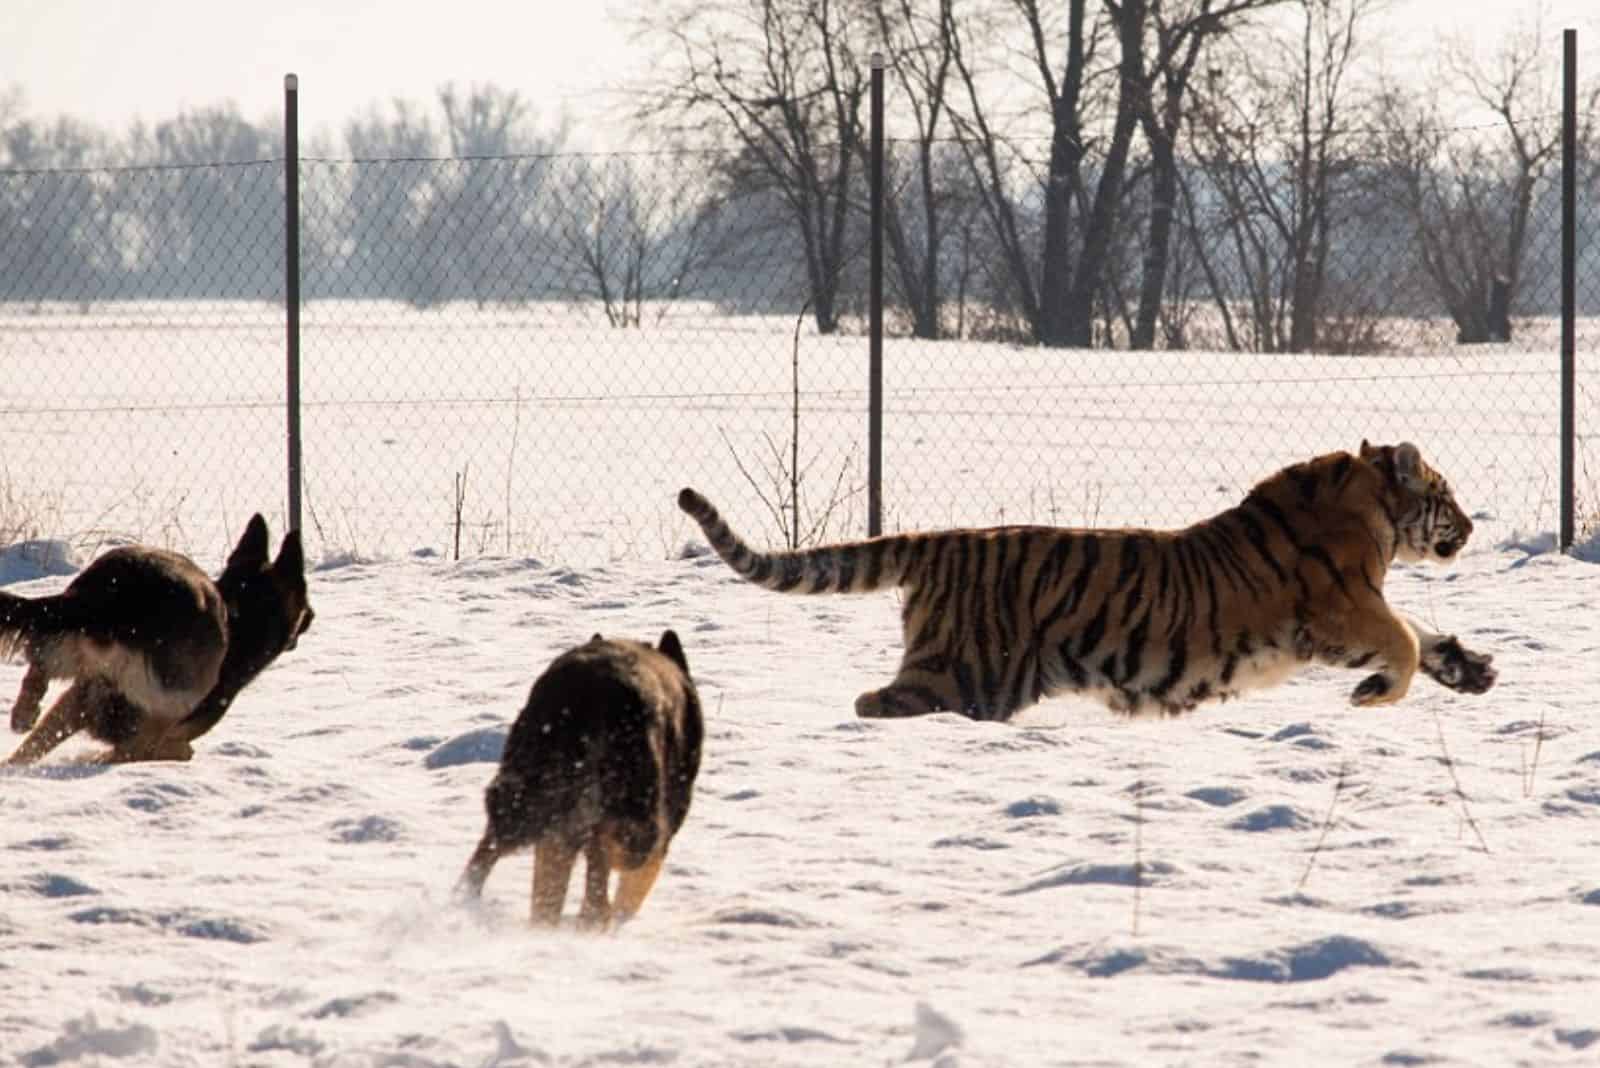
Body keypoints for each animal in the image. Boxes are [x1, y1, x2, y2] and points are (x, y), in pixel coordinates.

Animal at [3, 511, 315, 764]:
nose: (312, 616)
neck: (242, 615)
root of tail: (112, 592)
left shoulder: (82, 699)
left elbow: (35, 745)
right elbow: (177, 750)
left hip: (73, 646)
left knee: (40, 667)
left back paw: (24, 713)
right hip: (177, 697)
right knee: (140, 744)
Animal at [678, 438, 1497, 722]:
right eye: (1448, 494)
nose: (1473, 525)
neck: (1372, 510)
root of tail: (944, 543)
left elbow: (1420, 632)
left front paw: (1472, 668)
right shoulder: (1339, 609)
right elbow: (1403, 641)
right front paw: (1374, 693)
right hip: (962, 673)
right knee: (875, 702)